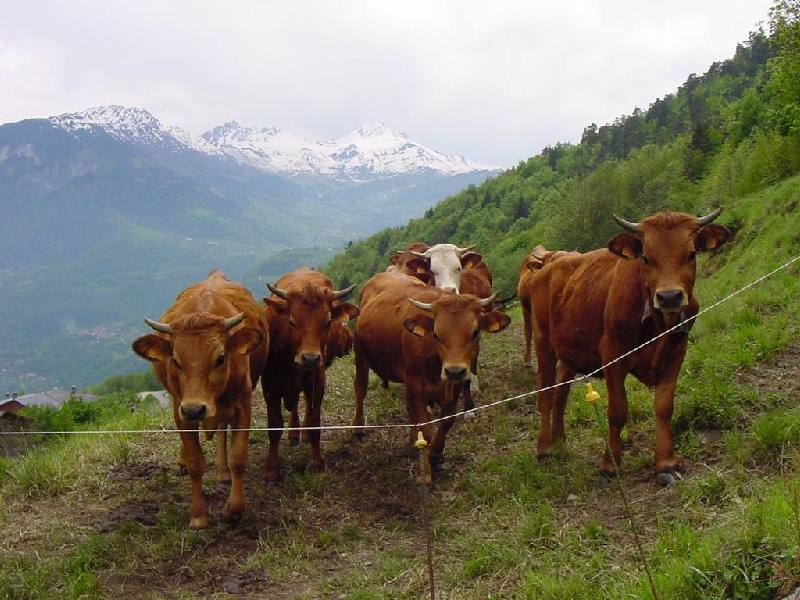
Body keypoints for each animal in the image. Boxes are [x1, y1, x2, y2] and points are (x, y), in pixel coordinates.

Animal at [133, 270, 268, 528]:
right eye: (175, 360)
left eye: (221, 358)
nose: (195, 410)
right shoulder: (180, 409)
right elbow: (196, 461)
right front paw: (198, 515)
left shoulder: (243, 405)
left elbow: (238, 457)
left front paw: (233, 509)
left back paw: (224, 473)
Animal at [262, 268, 360, 482]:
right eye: (292, 321)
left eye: (328, 322)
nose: (310, 358)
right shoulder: (269, 384)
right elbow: (274, 426)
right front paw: (271, 469)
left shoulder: (317, 379)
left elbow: (315, 423)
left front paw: (317, 464)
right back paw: (294, 432)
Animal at [350, 272, 506, 482]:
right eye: (437, 334)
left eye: (475, 333)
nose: (454, 371)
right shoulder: (416, 384)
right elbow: (426, 426)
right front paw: (430, 458)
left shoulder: (453, 386)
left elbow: (446, 421)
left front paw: (436, 454)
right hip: (360, 353)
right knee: (360, 389)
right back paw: (358, 428)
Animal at [532, 211, 732, 482]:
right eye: (646, 258)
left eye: (692, 253)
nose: (669, 296)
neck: (659, 324)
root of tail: (551, 264)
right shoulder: (613, 355)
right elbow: (617, 412)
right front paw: (610, 465)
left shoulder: (677, 352)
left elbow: (664, 408)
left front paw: (666, 462)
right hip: (543, 341)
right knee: (545, 394)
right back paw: (545, 447)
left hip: (569, 351)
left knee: (560, 393)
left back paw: (560, 440)